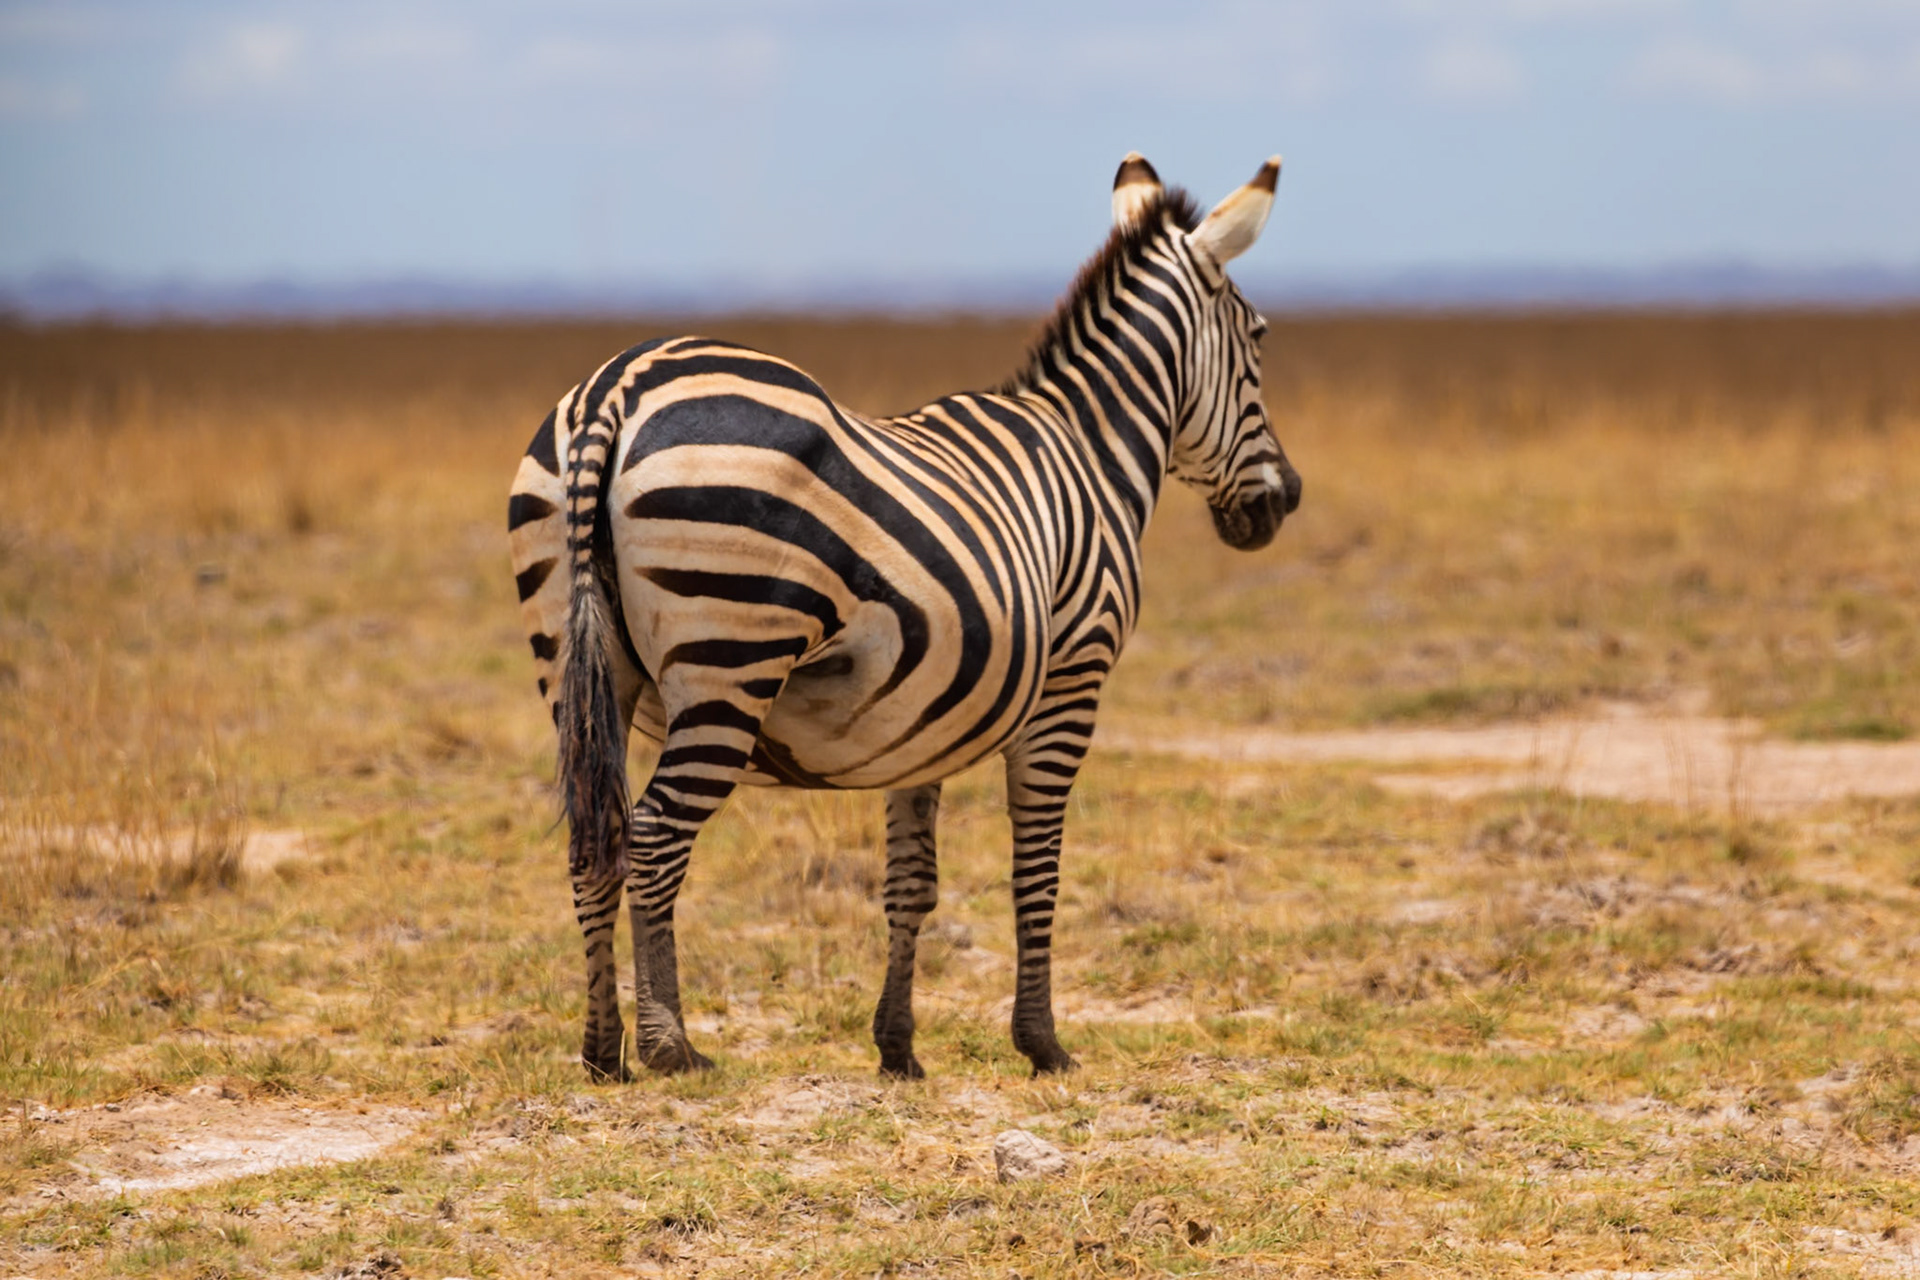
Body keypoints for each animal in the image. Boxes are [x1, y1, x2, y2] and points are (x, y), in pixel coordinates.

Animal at [507, 152, 1302, 1081]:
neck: (1090, 452)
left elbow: (911, 882)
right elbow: (1038, 864)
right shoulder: (1073, 681)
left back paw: (603, 1049)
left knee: (593, 841)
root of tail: (615, 390)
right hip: (727, 665)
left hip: (574, 663)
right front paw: (1042, 1042)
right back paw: (671, 1045)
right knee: (655, 837)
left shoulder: (923, 718)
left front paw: (897, 1047)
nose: (1285, 498)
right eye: (1259, 340)